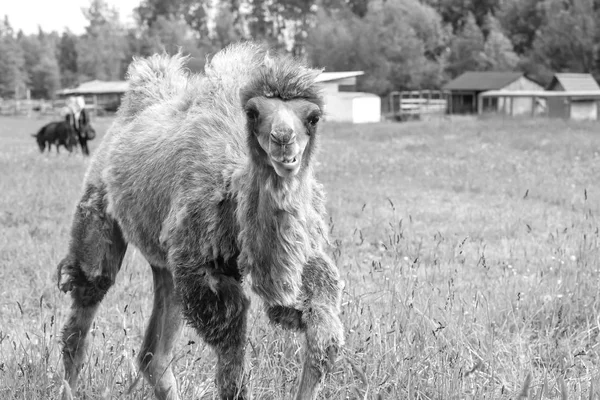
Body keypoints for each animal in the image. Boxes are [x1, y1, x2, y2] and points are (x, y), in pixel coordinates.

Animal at [57, 41, 346, 400]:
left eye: (313, 117)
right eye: (253, 112)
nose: (283, 140)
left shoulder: (308, 257)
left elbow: (323, 337)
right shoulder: (202, 270)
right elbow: (232, 360)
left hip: (167, 263)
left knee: (153, 354)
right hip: (99, 210)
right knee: (88, 296)